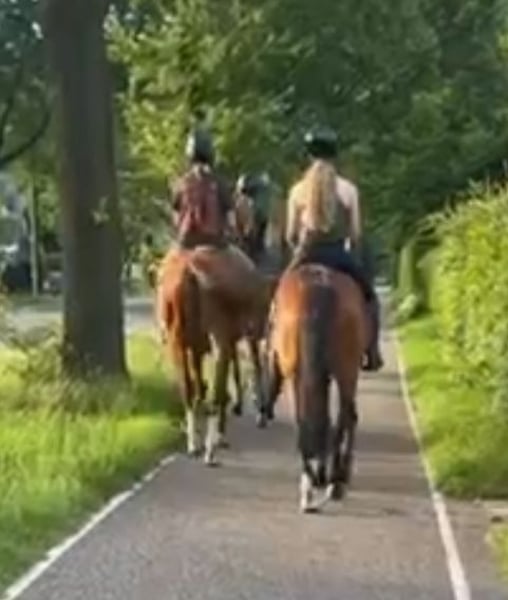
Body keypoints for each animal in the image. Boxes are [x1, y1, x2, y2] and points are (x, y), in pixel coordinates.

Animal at [156, 244, 273, 465]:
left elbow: (201, 386)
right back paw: (211, 450)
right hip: (219, 338)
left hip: (178, 341)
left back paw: (194, 445)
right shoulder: (238, 337)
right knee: (217, 392)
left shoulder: (198, 348)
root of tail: (191, 274)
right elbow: (243, 372)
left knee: (189, 389)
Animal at [258, 264, 369, 513]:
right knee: (344, 418)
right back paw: (336, 481)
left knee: (312, 420)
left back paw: (316, 480)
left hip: (298, 373)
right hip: (346, 372)